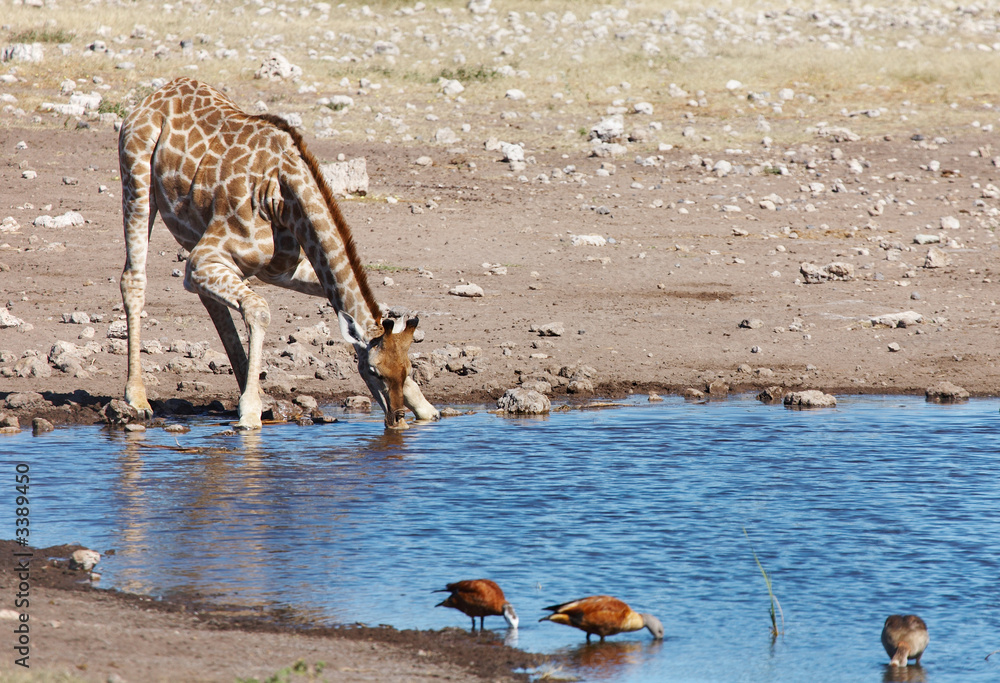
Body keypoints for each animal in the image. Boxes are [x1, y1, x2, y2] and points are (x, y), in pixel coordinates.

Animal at [117, 77, 438, 430]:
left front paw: (426, 409)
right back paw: (138, 399)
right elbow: (259, 310)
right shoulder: (202, 260)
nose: (396, 420)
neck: (282, 197)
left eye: (408, 370)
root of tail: (158, 93)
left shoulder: (282, 270)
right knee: (133, 279)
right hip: (137, 182)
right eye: (374, 371)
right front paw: (250, 413)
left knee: (215, 303)